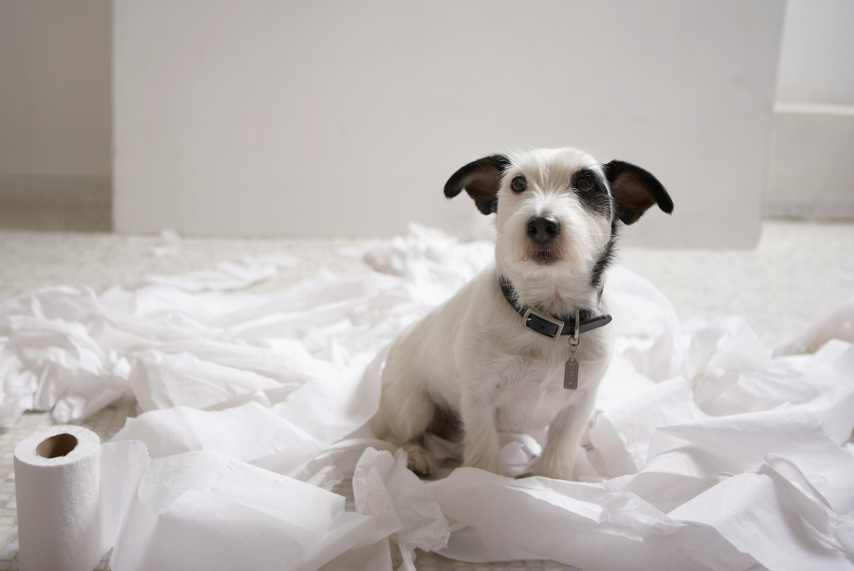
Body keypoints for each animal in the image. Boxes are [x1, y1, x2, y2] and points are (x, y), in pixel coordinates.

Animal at [374, 146, 676, 478]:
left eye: (586, 184)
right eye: (517, 184)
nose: (542, 224)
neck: (549, 318)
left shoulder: (579, 403)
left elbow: (559, 451)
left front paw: (550, 481)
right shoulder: (479, 398)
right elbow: (483, 453)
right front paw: (480, 482)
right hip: (412, 406)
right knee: (392, 437)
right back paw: (415, 456)